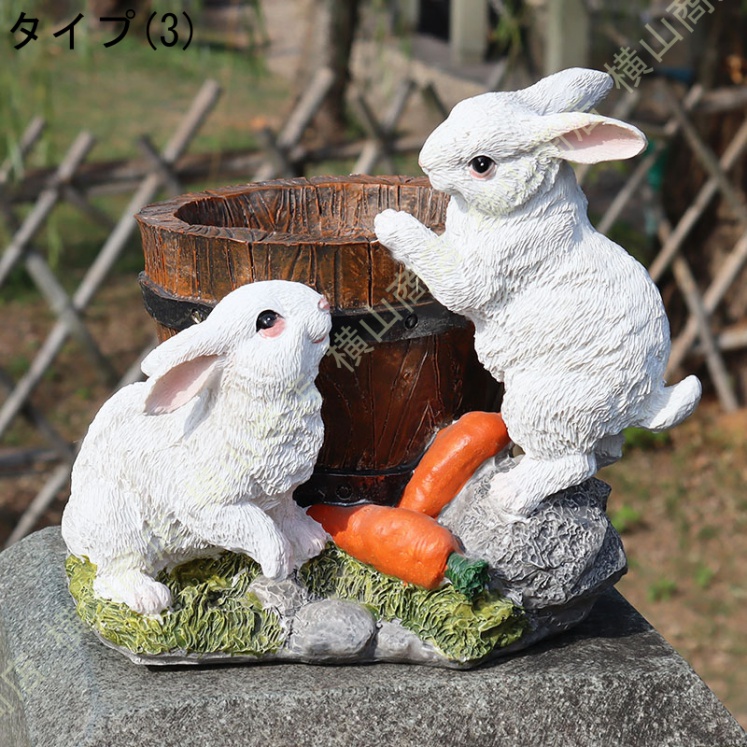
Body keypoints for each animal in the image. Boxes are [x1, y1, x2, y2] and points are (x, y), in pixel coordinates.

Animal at [62, 280, 332, 612]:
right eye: (267, 320)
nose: (323, 303)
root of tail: (71, 528)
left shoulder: (279, 495)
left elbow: (288, 513)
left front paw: (313, 542)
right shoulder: (209, 508)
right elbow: (259, 527)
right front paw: (278, 563)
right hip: (117, 522)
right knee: (112, 575)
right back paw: (149, 597)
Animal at [376, 68, 704, 520]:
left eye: (482, 165)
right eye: (458, 110)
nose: (425, 162)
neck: (526, 206)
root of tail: (647, 398)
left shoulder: (469, 276)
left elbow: (440, 265)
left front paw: (388, 222)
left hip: (537, 405)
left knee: (575, 463)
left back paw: (508, 494)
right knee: (606, 453)